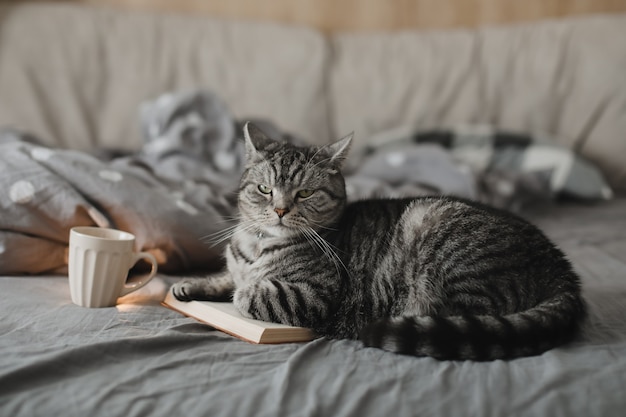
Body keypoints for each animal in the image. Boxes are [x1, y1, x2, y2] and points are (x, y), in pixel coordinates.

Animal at [172, 121, 584, 360]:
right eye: (263, 189)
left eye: (305, 193)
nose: (280, 210)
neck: (256, 244)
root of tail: (561, 265)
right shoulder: (236, 265)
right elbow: (226, 277)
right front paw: (190, 285)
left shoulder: (311, 295)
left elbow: (249, 293)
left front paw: (240, 291)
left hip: (440, 240)